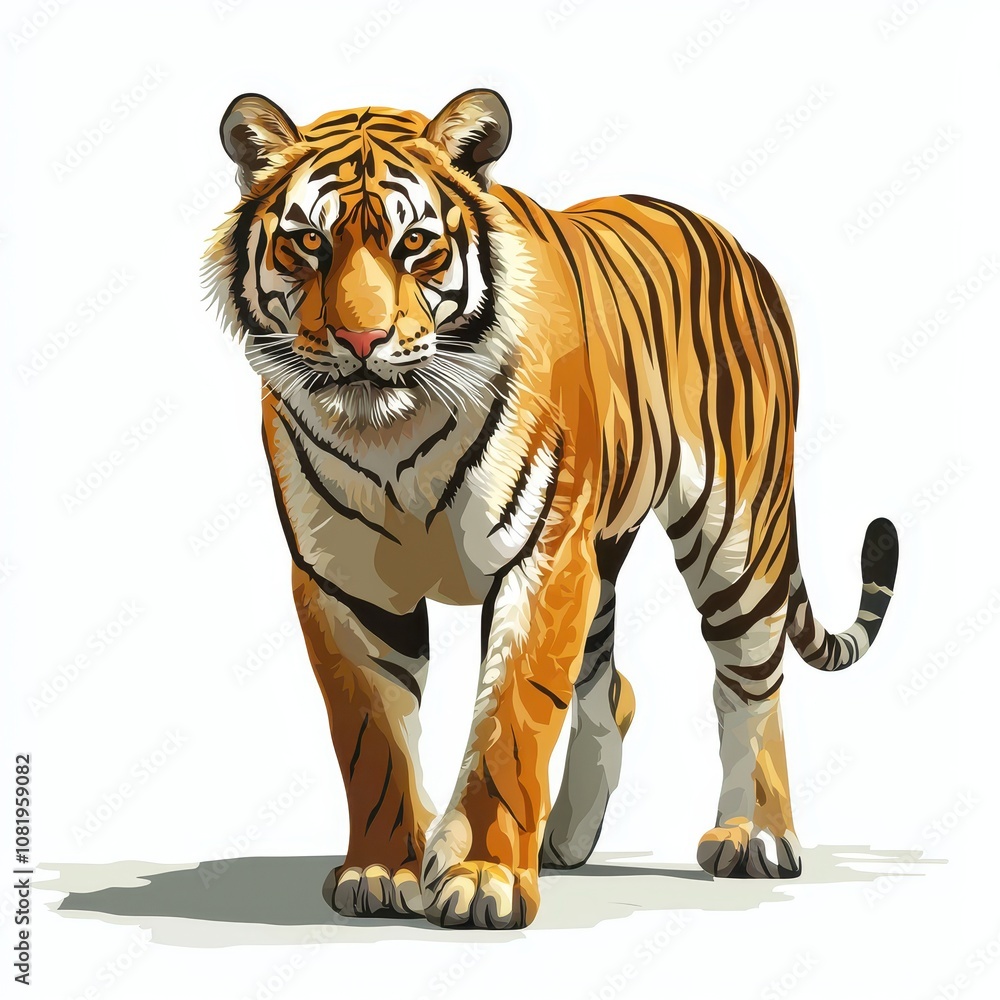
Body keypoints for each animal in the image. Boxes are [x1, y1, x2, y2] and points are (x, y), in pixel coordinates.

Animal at [204, 88, 898, 930]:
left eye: (415, 244)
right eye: (307, 242)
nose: (361, 339)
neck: (391, 433)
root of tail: (730, 242)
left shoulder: (543, 554)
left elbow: (510, 721)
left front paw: (481, 878)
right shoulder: (343, 580)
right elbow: (372, 735)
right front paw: (381, 871)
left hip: (736, 536)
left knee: (749, 686)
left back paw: (754, 837)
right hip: (606, 554)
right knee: (612, 688)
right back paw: (567, 840)